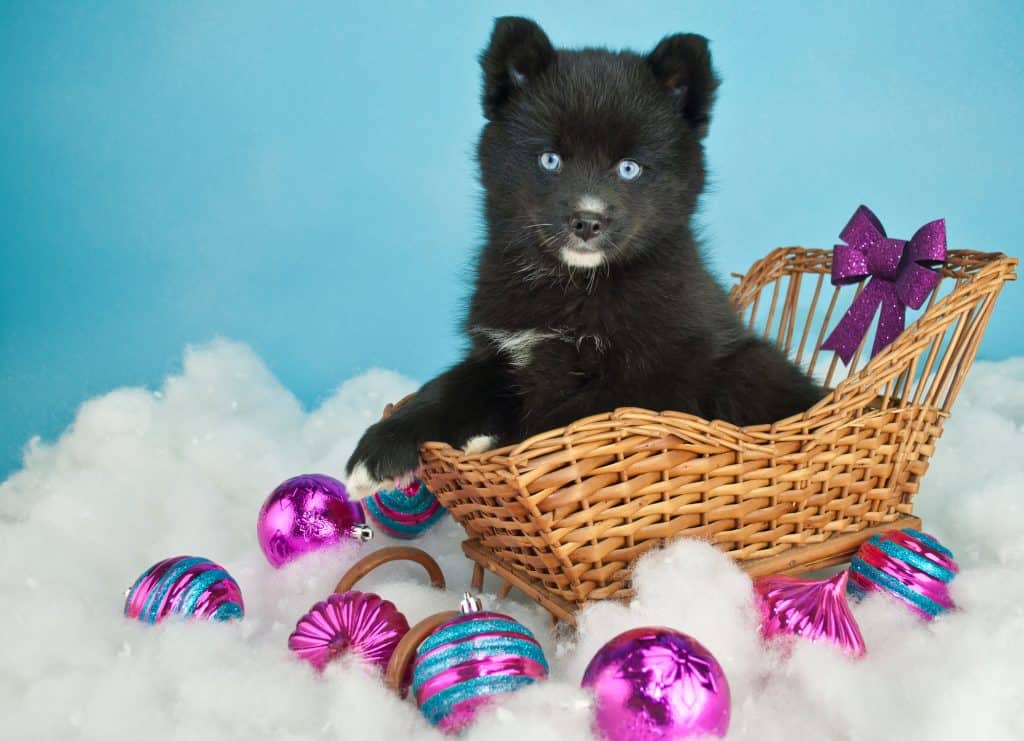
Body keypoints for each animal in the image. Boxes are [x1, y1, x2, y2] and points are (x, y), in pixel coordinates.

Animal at [348, 15, 819, 497]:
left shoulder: (660, 374)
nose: (588, 221)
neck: (574, 285)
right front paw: (380, 447)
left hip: (750, 364)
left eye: (629, 168)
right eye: (550, 160)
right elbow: (449, 385)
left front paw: (497, 446)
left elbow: (565, 418)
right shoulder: (504, 355)